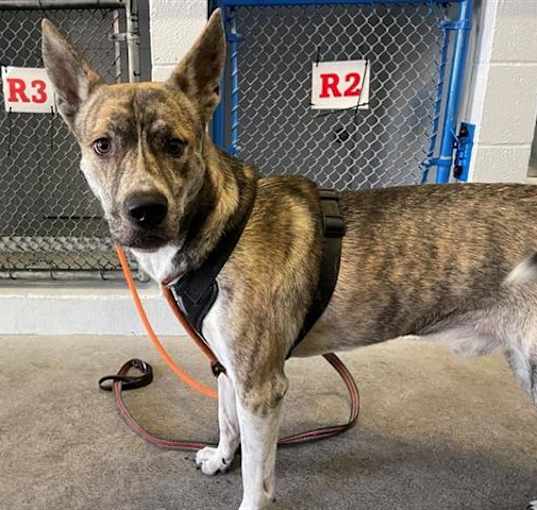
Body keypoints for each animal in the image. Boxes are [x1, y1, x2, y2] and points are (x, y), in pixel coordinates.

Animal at [43, 8, 536, 510]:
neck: (220, 225)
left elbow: (257, 478)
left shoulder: (262, 388)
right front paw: (222, 457)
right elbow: (226, 419)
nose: (145, 210)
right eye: (103, 144)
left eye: (175, 145)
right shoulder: (229, 368)